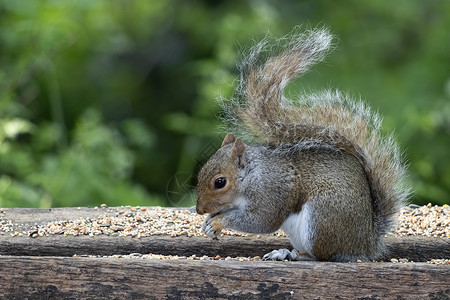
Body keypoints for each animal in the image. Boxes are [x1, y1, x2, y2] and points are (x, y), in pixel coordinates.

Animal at [195, 28, 410, 262]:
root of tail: (366, 244)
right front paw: (208, 224)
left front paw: (219, 222)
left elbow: (261, 221)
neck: (252, 177)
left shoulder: (272, 193)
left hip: (321, 219)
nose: (199, 209)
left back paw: (292, 254)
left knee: (321, 256)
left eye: (220, 182)